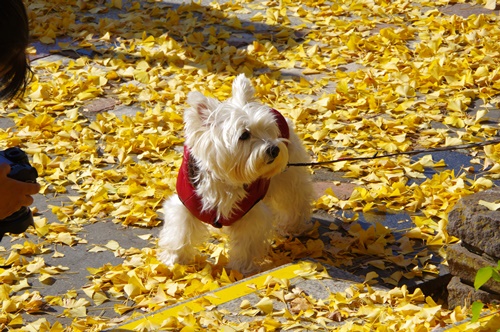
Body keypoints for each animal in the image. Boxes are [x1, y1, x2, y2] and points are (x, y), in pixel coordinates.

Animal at [157, 75, 312, 274]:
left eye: (268, 129)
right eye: (244, 135)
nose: (274, 149)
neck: (225, 179)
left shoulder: (251, 213)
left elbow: (246, 243)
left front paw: (240, 269)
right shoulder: (186, 204)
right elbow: (179, 233)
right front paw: (172, 261)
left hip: (288, 174)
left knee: (295, 200)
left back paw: (293, 226)